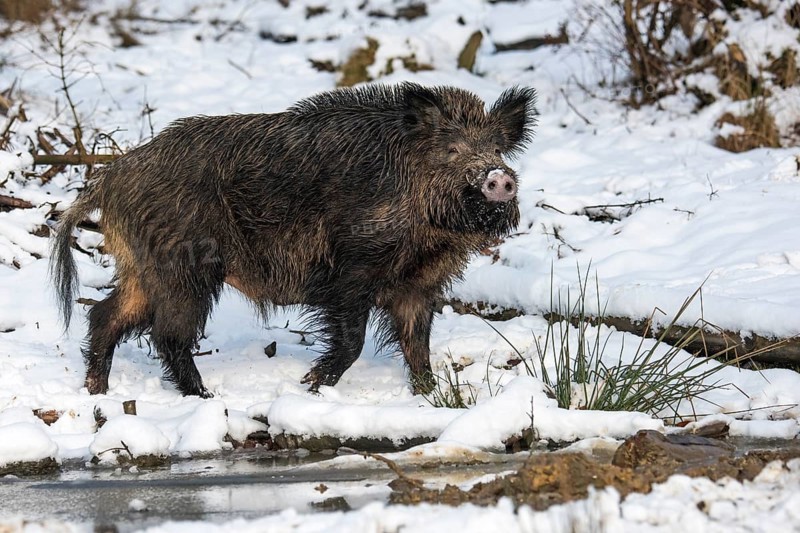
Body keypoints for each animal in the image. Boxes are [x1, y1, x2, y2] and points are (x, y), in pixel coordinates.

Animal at [50, 82, 537, 397]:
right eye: (451, 151)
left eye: (497, 149)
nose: (499, 178)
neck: (427, 237)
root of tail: (110, 177)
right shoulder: (350, 270)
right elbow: (353, 340)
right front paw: (310, 385)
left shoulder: (419, 285)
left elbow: (418, 346)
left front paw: (432, 397)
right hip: (185, 266)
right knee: (167, 334)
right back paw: (204, 396)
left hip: (142, 266)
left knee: (106, 316)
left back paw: (97, 391)